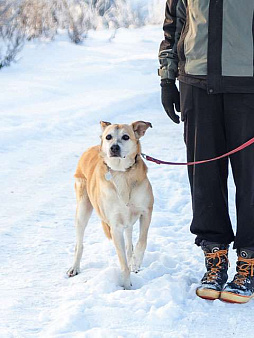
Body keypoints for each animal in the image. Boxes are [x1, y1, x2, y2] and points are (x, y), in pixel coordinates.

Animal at [67, 120, 154, 290]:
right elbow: (123, 264)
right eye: (109, 137)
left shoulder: (146, 211)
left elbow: (141, 242)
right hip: (82, 209)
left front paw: (136, 263)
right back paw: (74, 267)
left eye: (126, 137)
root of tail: (89, 149)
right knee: (79, 244)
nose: (114, 147)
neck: (122, 173)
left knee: (130, 242)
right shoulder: (115, 226)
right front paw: (127, 286)